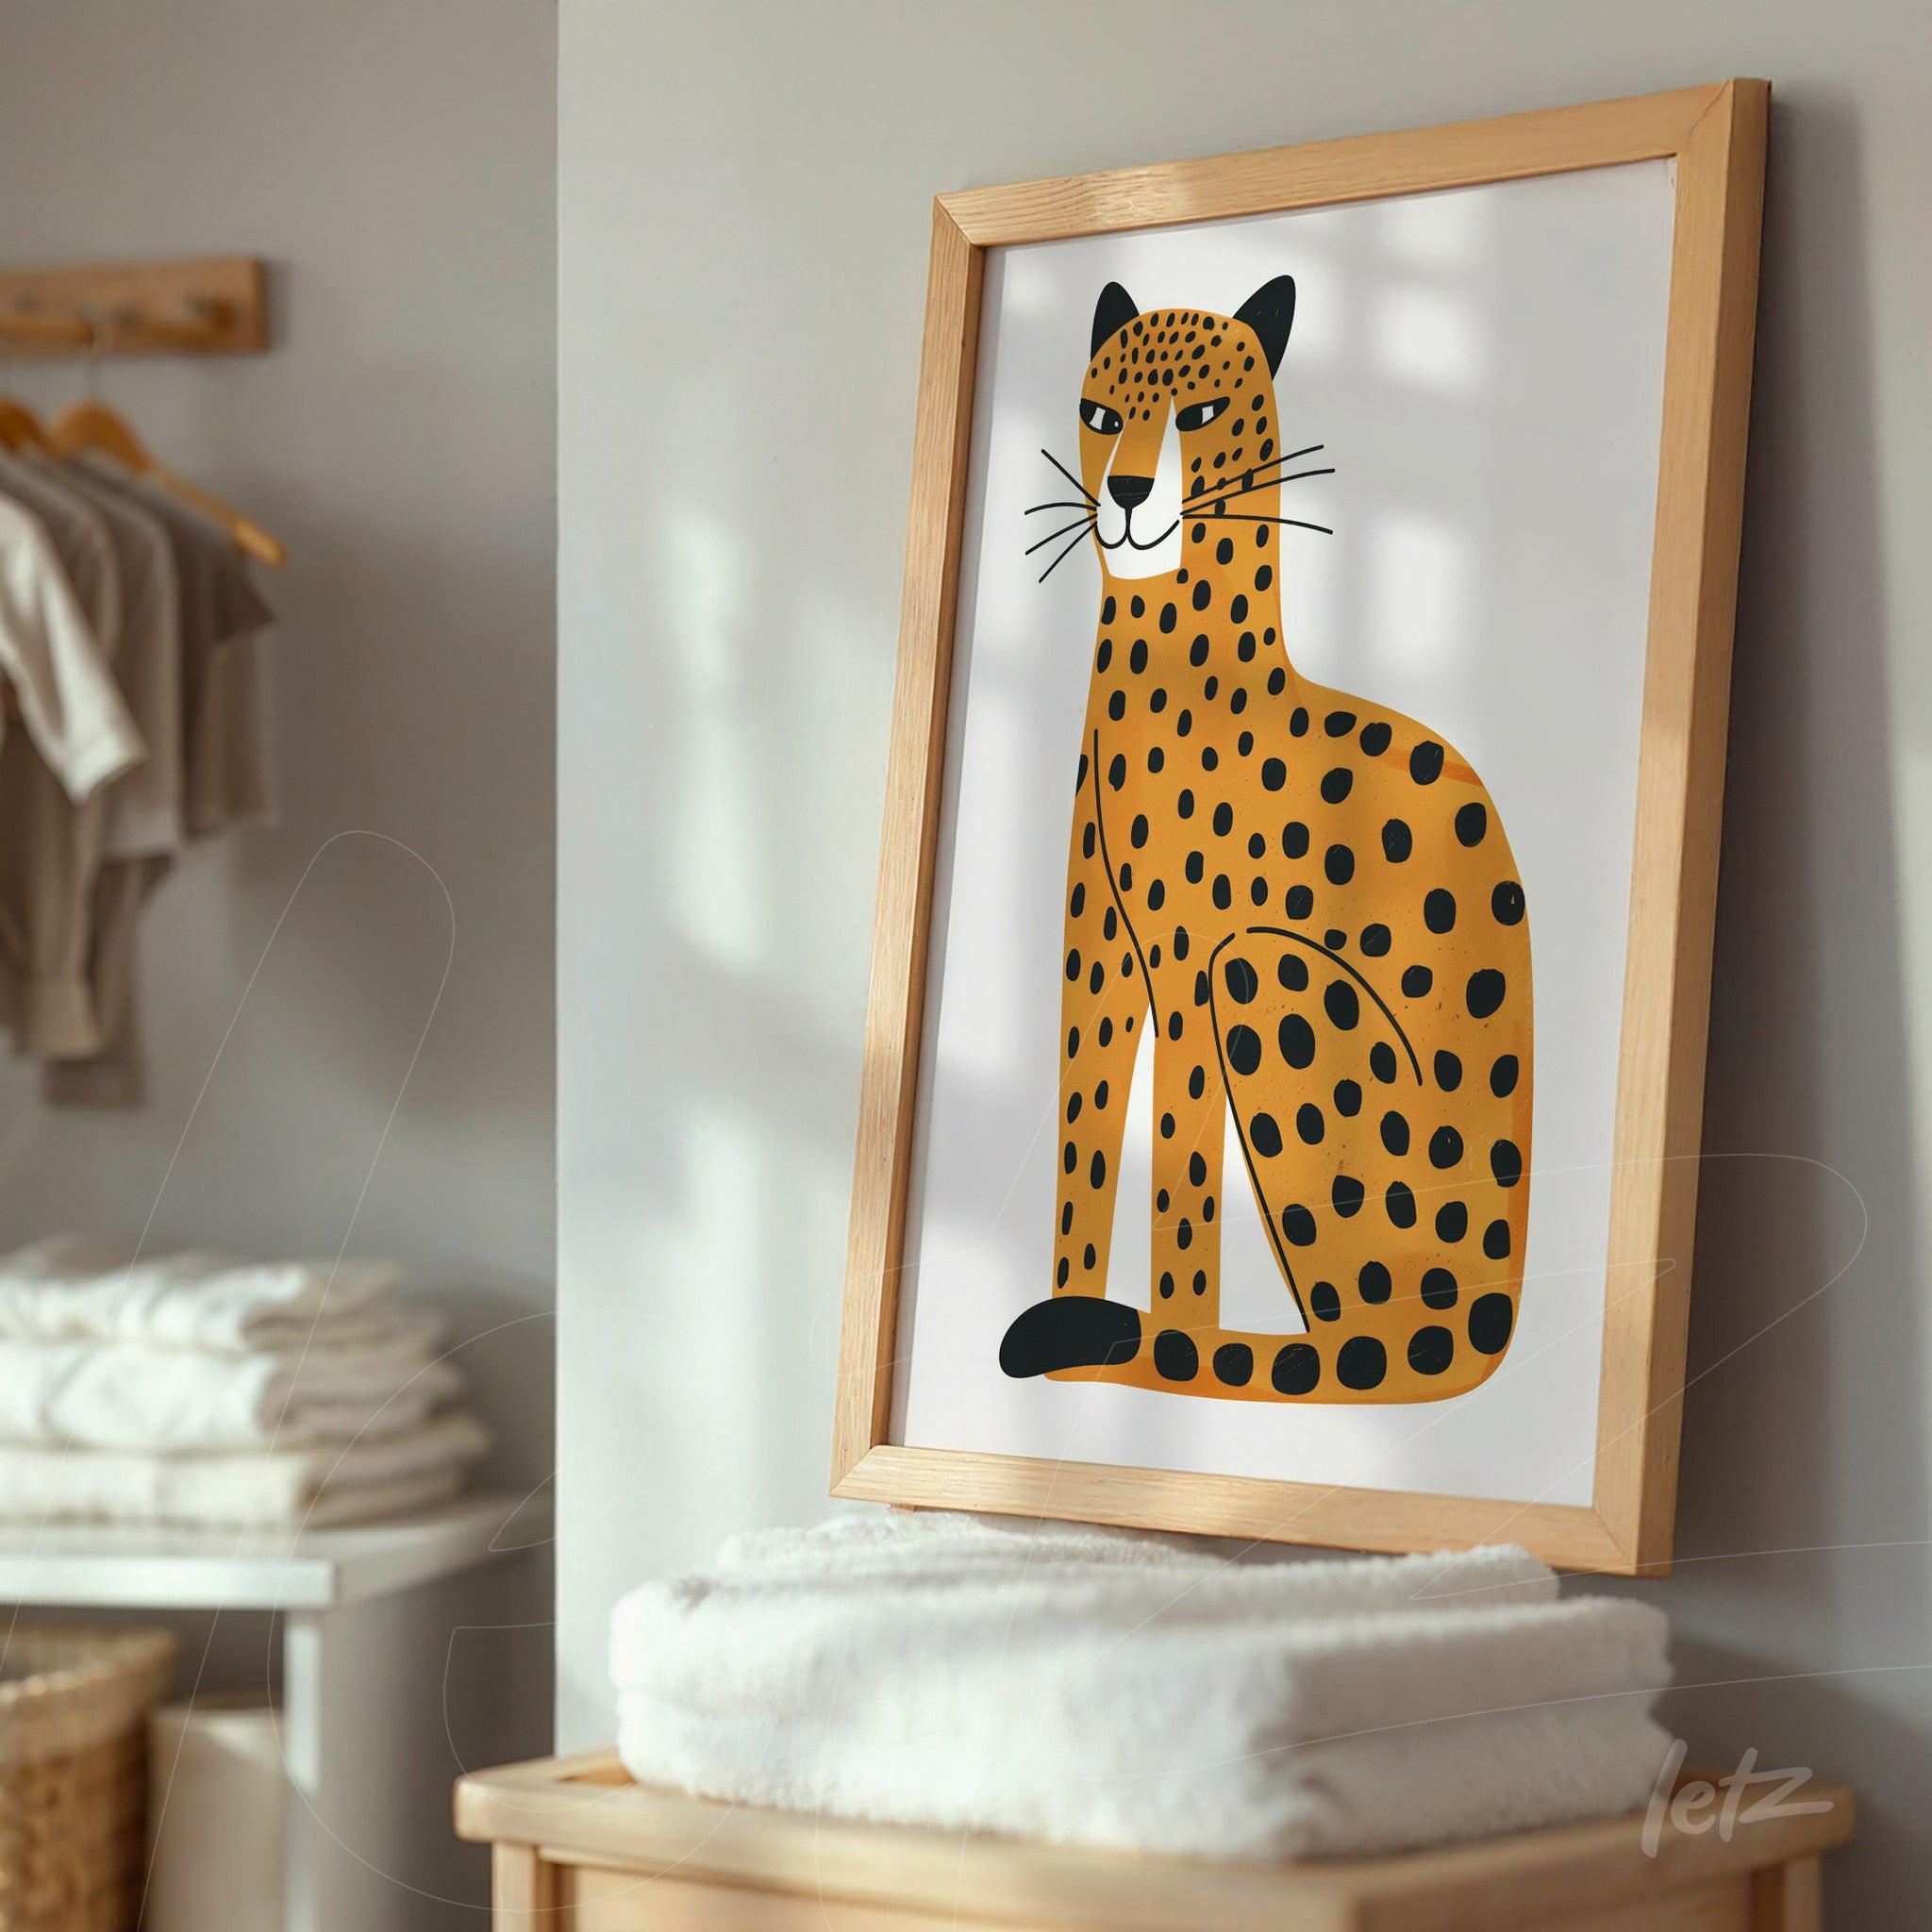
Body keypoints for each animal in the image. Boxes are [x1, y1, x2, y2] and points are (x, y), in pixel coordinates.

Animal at [998, 276, 1533, 1405]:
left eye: (1197, 413)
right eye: (1101, 414)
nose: (1125, 491)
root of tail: (1493, 1313)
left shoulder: (1189, 967)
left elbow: (1179, 1168)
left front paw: (1165, 1334)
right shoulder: (1095, 969)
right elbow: (1084, 1143)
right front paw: (1079, 1316)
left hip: (1261, 970)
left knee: (1357, 1352)